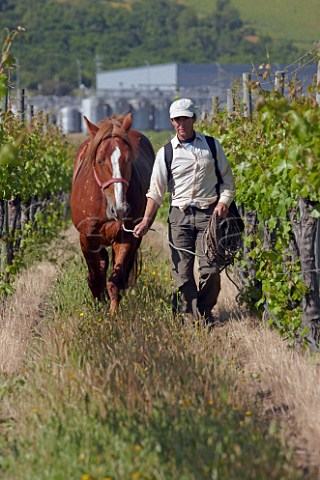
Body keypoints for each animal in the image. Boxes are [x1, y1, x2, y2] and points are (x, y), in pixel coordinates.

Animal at [71, 113, 155, 316]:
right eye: (100, 160)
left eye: (128, 159)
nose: (121, 209)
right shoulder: (87, 238)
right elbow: (96, 278)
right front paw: (98, 310)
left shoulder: (127, 237)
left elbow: (115, 281)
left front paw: (113, 316)